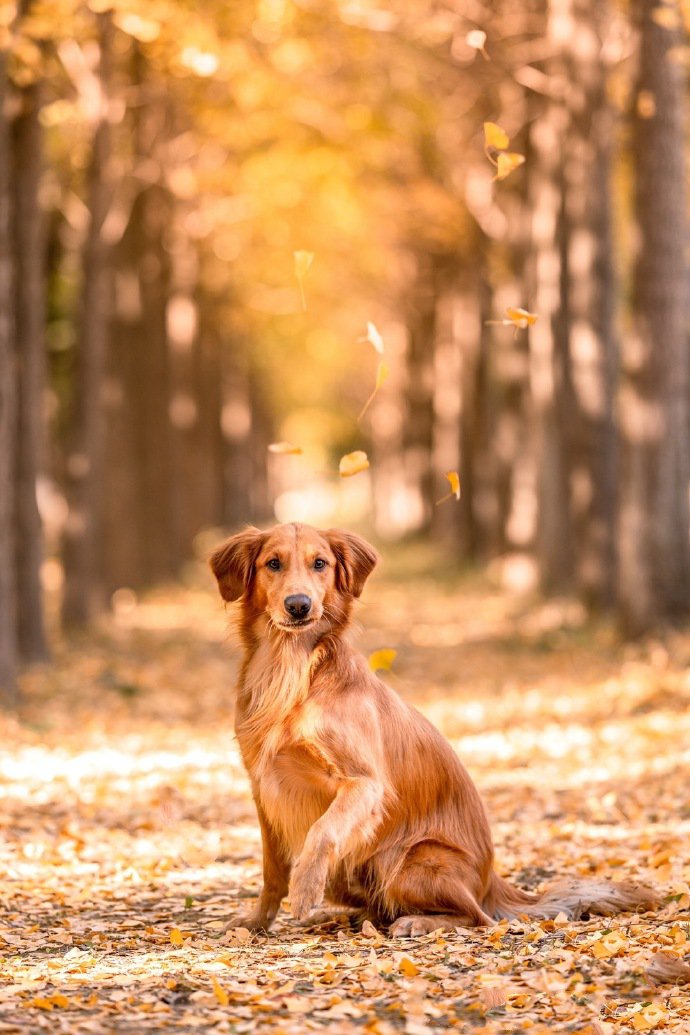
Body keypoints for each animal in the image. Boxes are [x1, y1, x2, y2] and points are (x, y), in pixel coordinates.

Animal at [212, 521, 657, 935]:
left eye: (319, 564)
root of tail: (491, 883)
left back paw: (417, 921)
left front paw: (305, 888)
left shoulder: (364, 783)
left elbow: (323, 831)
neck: (292, 670)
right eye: (273, 563)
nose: (299, 605)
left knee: (476, 917)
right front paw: (256, 920)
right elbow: (271, 871)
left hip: (411, 859)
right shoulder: (264, 788)